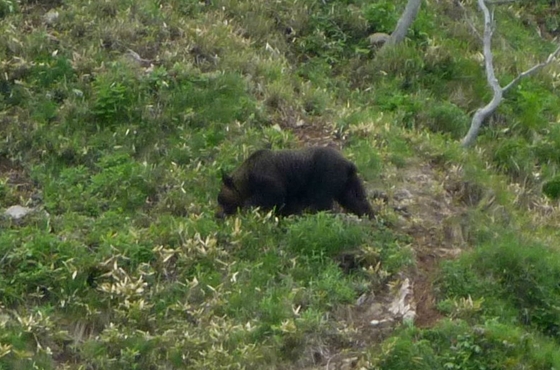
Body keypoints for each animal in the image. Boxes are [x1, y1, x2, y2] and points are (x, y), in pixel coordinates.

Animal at [217, 146, 374, 218]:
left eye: (222, 200)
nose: (218, 214)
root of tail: (349, 164)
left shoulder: (268, 178)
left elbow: (273, 194)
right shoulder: (292, 190)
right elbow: (287, 204)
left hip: (326, 173)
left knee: (322, 199)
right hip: (347, 182)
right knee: (356, 199)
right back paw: (368, 215)